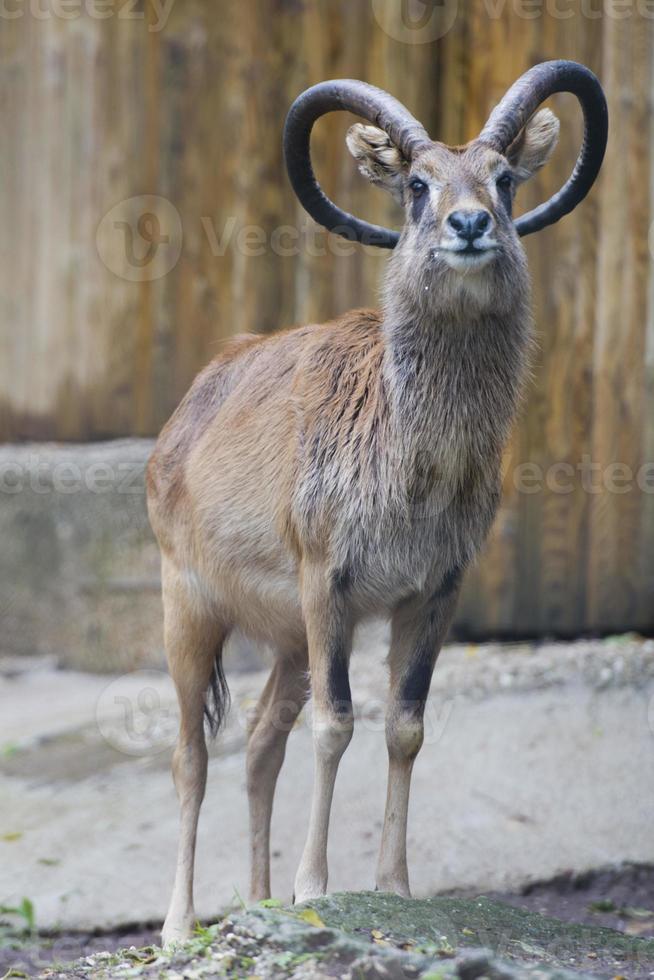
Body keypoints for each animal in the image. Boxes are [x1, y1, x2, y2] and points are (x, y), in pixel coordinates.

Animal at [146, 59, 608, 940]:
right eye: (417, 183)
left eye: (501, 177)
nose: (470, 224)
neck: (411, 461)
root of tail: (186, 411)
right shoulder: (327, 581)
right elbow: (337, 725)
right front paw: (313, 887)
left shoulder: (432, 593)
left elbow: (404, 725)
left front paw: (393, 884)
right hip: (190, 607)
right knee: (192, 753)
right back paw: (180, 922)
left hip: (289, 641)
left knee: (261, 738)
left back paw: (254, 898)